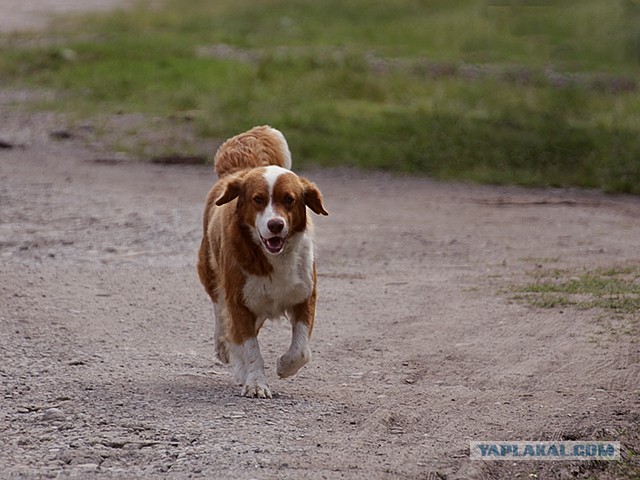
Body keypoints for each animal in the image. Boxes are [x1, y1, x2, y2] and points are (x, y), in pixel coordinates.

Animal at [199, 125, 330, 400]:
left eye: (289, 199)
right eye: (258, 199)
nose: (275, 225)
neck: (273, 258)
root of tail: (240, 170)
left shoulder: (305, 295)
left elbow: (301, 349)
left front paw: (284, 366)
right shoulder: (239, 302)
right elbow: (250, 349)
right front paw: (256, 383)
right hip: (209, 269)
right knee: (220, 311)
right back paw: (223, 346)